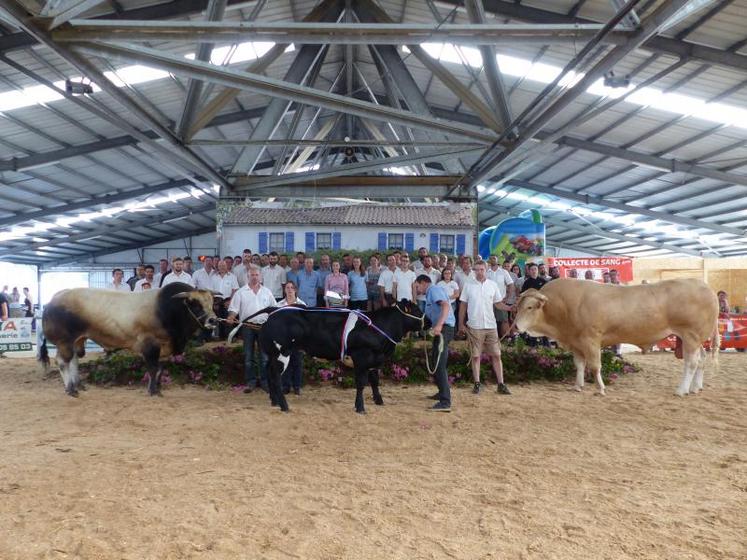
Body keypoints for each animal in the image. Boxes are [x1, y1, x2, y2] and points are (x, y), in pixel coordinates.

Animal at [39, 282, 218, 396]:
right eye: (194, 302)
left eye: (212, 302)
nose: (213, 320)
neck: (166, 309)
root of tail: (53, 300)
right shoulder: (150, 345)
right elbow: (153, 369)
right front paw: (153, 391)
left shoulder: (162, 348)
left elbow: (160, 369)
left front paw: (158, 388)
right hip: (64, 342)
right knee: (63, 362)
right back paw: (71, 389)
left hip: (77, 340)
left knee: (74, 360)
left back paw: (78, 385)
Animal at [244, 302, 426, 416]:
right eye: (417, 311)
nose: (429, 321)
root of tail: (274, 310)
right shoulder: (361, 357)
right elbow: (361, 383)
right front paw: (360, 407)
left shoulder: (375, 359)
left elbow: (374, 380)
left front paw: (379, 401)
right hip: (283, 353)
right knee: (275, 376)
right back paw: (284, 405)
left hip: (273, 354)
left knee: (268, 372)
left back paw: (274, 401)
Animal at [516, 278, 720, 394]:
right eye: (517, 306)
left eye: (530, 307)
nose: (516, 326)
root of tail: (704, 285)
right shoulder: (575, 342)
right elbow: (579, 365)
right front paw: (578, 386)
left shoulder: (591, 339)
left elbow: (595, 366)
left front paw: (600, 388)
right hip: (694, 338)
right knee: (701, 360)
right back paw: (695, 387)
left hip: (691, 335)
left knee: (691, 362)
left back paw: (682, 390)